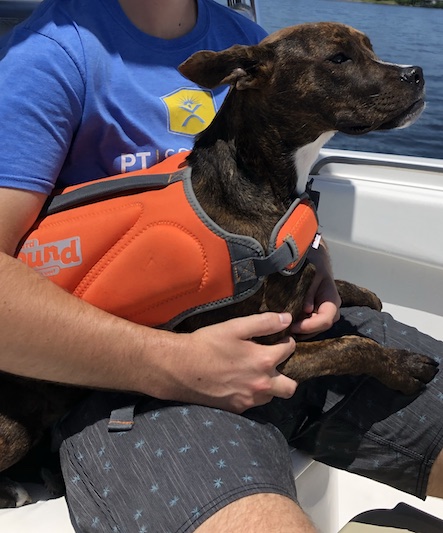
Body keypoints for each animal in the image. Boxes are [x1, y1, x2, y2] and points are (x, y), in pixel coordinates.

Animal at [0, 22, 438, 508]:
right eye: (338, 58)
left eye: (369, 48)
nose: (417, 73)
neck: (258, 180)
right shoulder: (268, 354)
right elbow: (349, 346)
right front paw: (404, 365)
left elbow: (333, 291)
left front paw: (362, 294)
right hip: (15, 425)